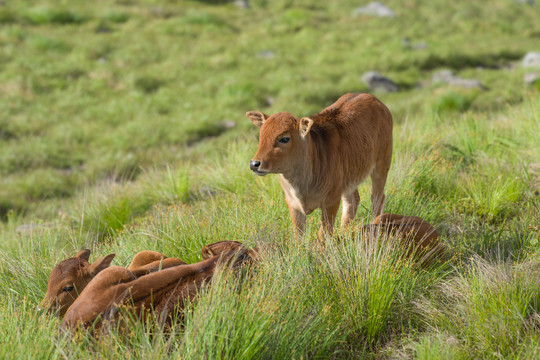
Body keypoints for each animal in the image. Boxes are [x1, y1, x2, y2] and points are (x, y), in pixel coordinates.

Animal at [249, 93, 392, 240]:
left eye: (284, 138)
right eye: (261, 135)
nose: (255, 164)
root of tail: (374, 99)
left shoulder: (331, 202)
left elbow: (323, 233)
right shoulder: (293, 204)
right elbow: (298, 234)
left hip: (381, 166)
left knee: (377, 199)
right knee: (352, 200)